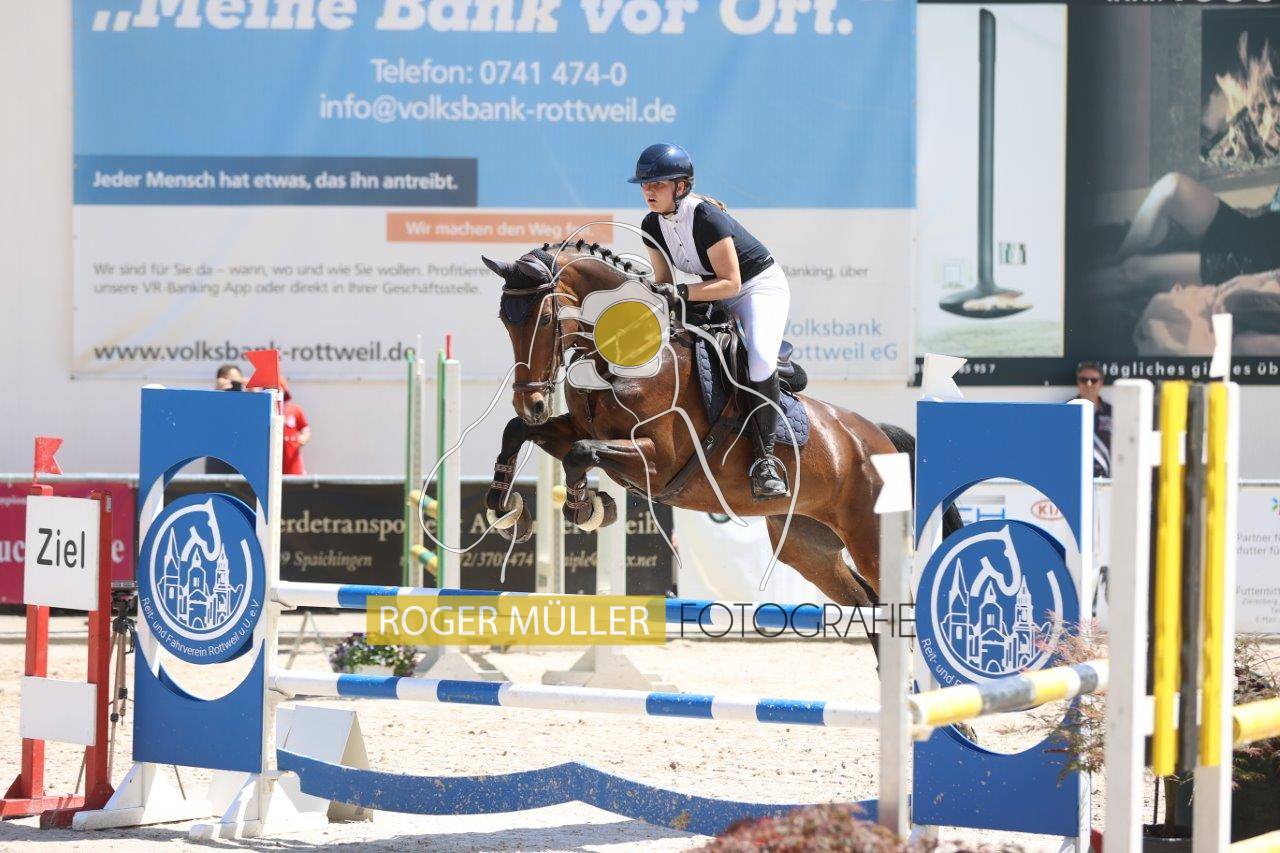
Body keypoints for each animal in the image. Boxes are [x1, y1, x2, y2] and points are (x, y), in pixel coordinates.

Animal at [480, 241, 959, 607]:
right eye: (504, 319)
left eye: (545, 319)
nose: (533, 402)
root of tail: (879, 438)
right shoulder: (579, 430)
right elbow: (519, 433)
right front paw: (506, 510)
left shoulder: (658, 461)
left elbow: (581, 455)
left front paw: (586, 507)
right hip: (809, 548)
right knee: (867, 603)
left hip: (870, 538)